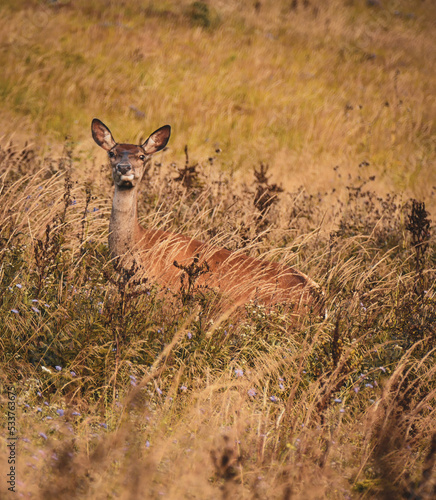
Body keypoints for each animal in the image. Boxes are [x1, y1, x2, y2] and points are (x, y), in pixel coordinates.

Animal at [91, 118, 324, 316]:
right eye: (112, 153)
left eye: (141, 156)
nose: (124, 168)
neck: (138, 249)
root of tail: (317, 298)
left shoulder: (167, 295)